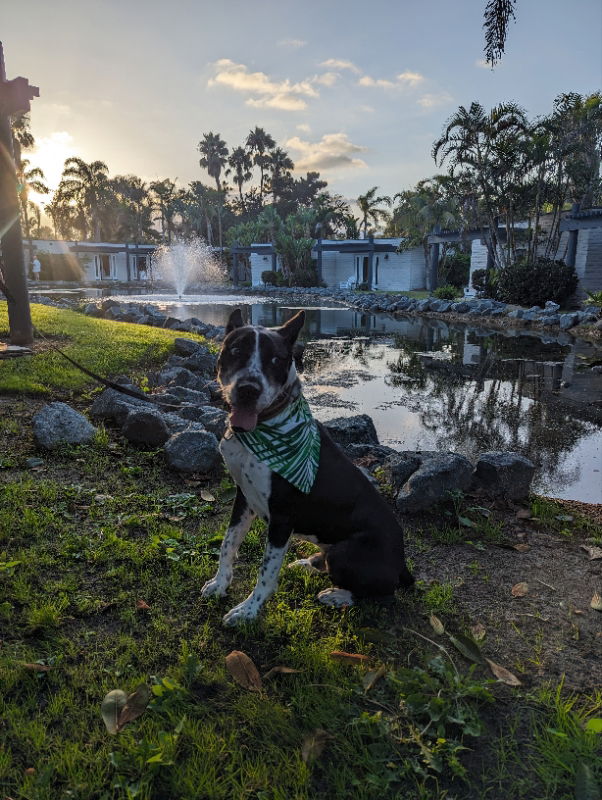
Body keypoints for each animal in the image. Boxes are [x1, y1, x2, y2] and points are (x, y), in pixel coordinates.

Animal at [202, 310, 412, 628]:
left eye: (275, 359)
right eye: (236, 351)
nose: (248, 390)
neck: (260, 429)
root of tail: (401, 565)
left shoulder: (282, 518)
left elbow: (266, 572)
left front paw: (248, 611)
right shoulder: (244, 497)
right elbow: (228, 543)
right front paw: (220, 582)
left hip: (346, 553)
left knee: (381, 594)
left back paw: (337, 595)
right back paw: (309, 562)